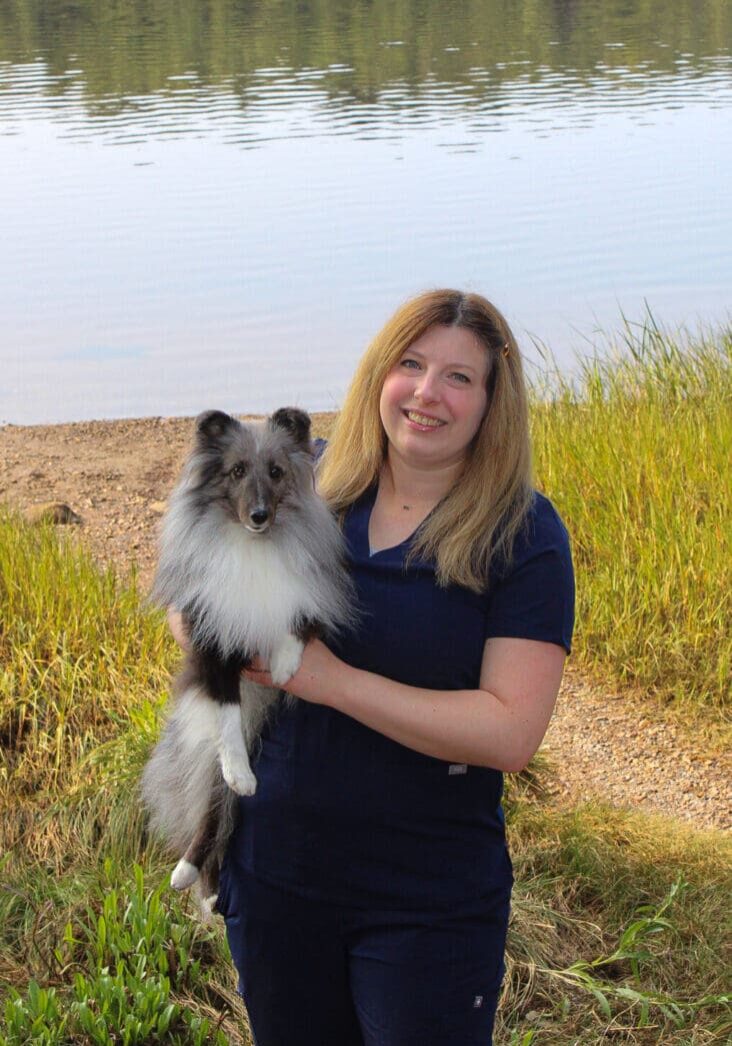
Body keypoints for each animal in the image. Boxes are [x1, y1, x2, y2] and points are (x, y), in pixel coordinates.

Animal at [141, 412, 353, 903]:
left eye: (275, 472)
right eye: (237, 471)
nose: (259, 515)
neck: (253, 547)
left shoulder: (314, 598)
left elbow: (296, 622)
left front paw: (286, 665)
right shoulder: (211, 645)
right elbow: (225, 717)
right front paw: (240, 771)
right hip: (205, 752)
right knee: (215, 797)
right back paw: (189, 871)